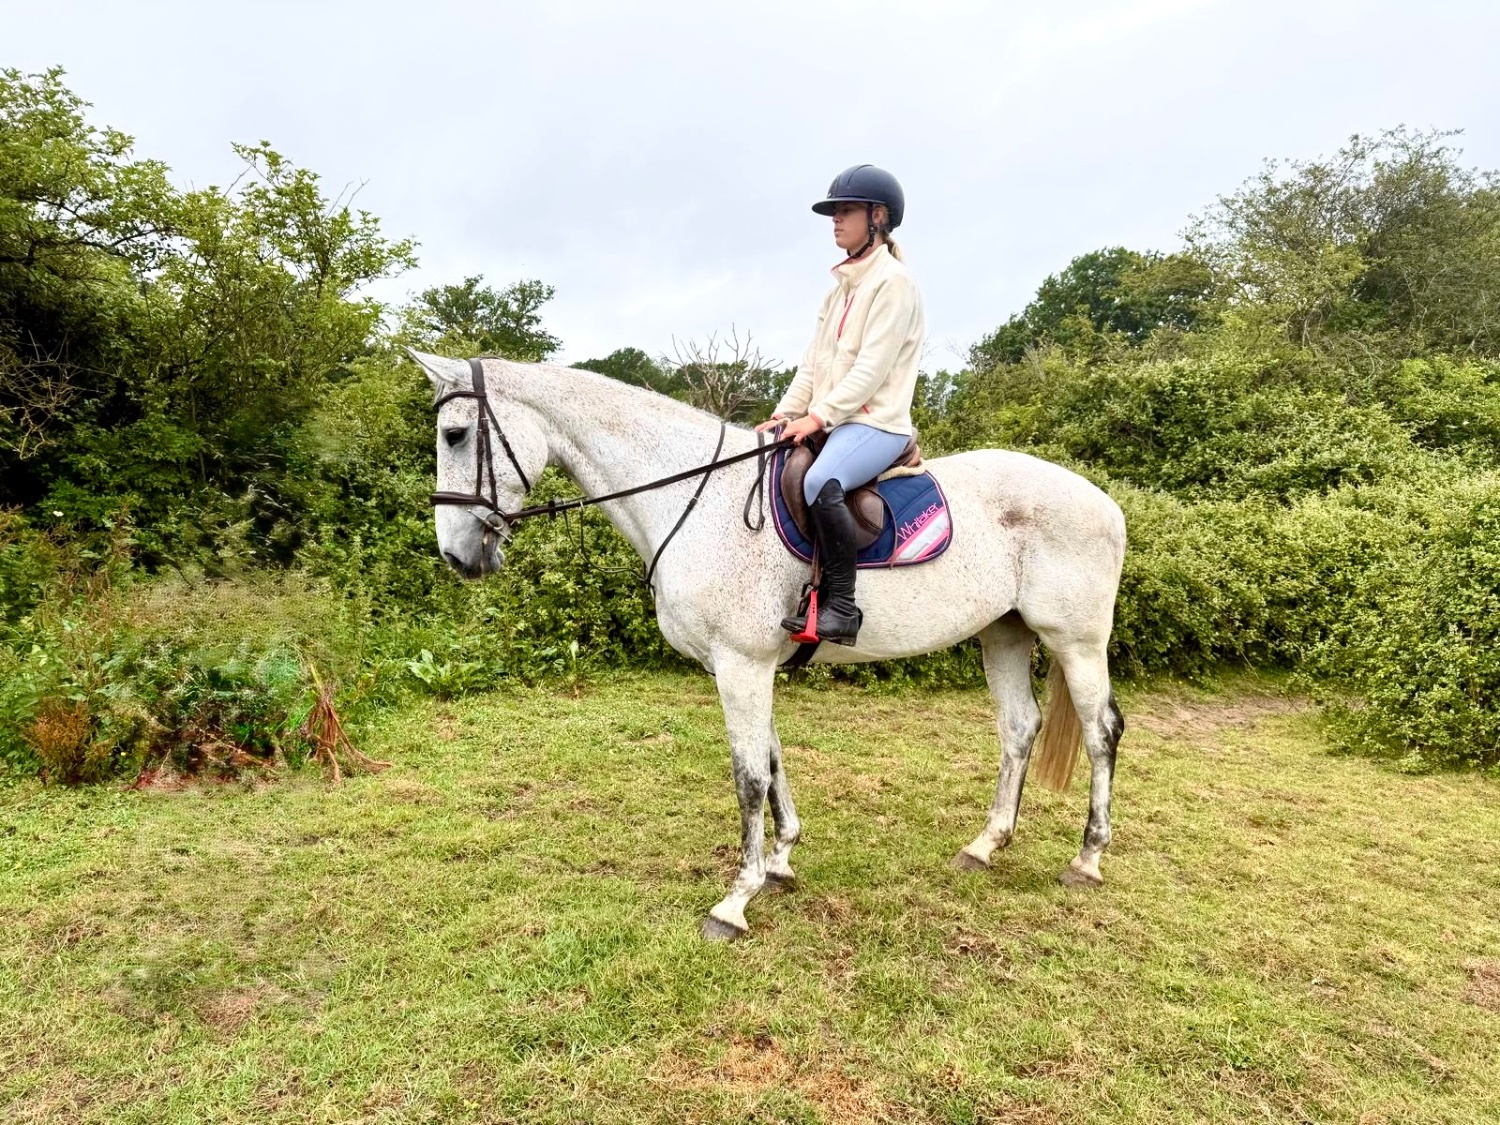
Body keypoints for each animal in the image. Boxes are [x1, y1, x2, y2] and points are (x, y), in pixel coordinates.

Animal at [410, 350, 1127, 940]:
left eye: (455, 435)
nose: (455, 555)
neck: (695, 499)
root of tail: (1104, 501)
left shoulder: (742, 665)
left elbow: (749, 775)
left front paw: (737, 898)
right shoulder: (747, 668)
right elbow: (775, 761)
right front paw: (781, 859)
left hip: (1077, 641)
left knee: (1101, 732)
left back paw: (1087, 858)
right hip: (1003, 633)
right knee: (1019, 727)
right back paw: (985, 845)